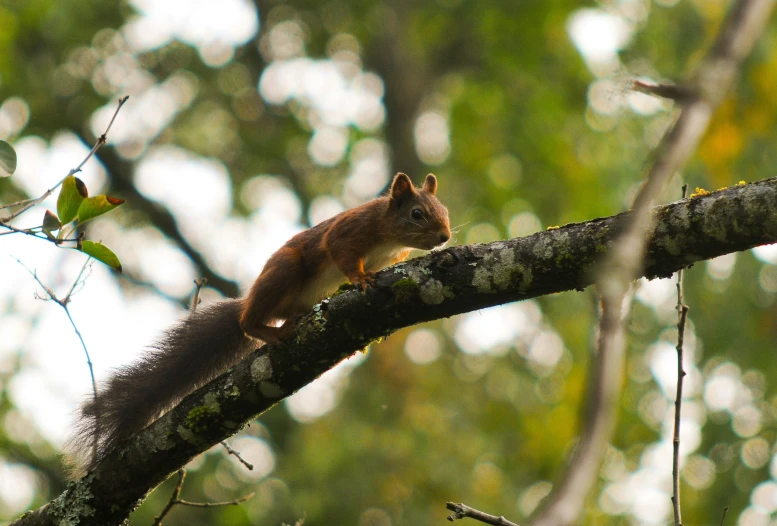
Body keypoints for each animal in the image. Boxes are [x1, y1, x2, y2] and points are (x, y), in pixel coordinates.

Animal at [71, 172, 454, 474]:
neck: (387, 236)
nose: (445, 237)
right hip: (284, 270)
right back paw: (269, 330)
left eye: (445, 211)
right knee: (247, 321)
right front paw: (360, 279)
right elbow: (341, 253)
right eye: (417, 214)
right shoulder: (348, 232)